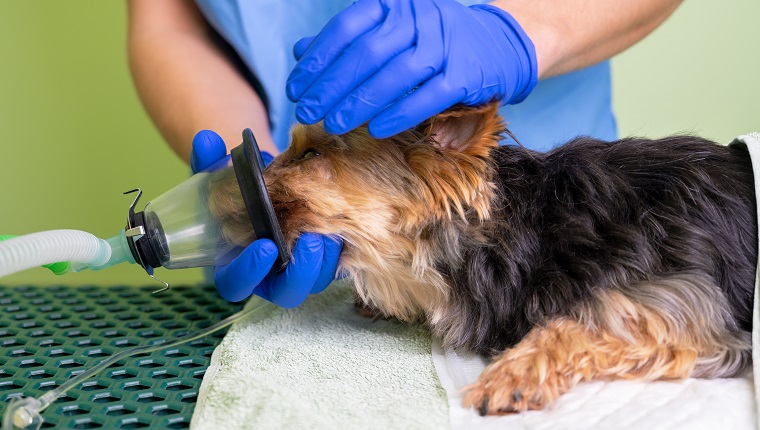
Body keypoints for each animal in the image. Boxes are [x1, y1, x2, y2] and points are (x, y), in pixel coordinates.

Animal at [209, 103, 760, 414]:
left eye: (309, 155)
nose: (221, 192)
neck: (523, 229)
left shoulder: (681, 297)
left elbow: (580, 324)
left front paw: (514, 375)